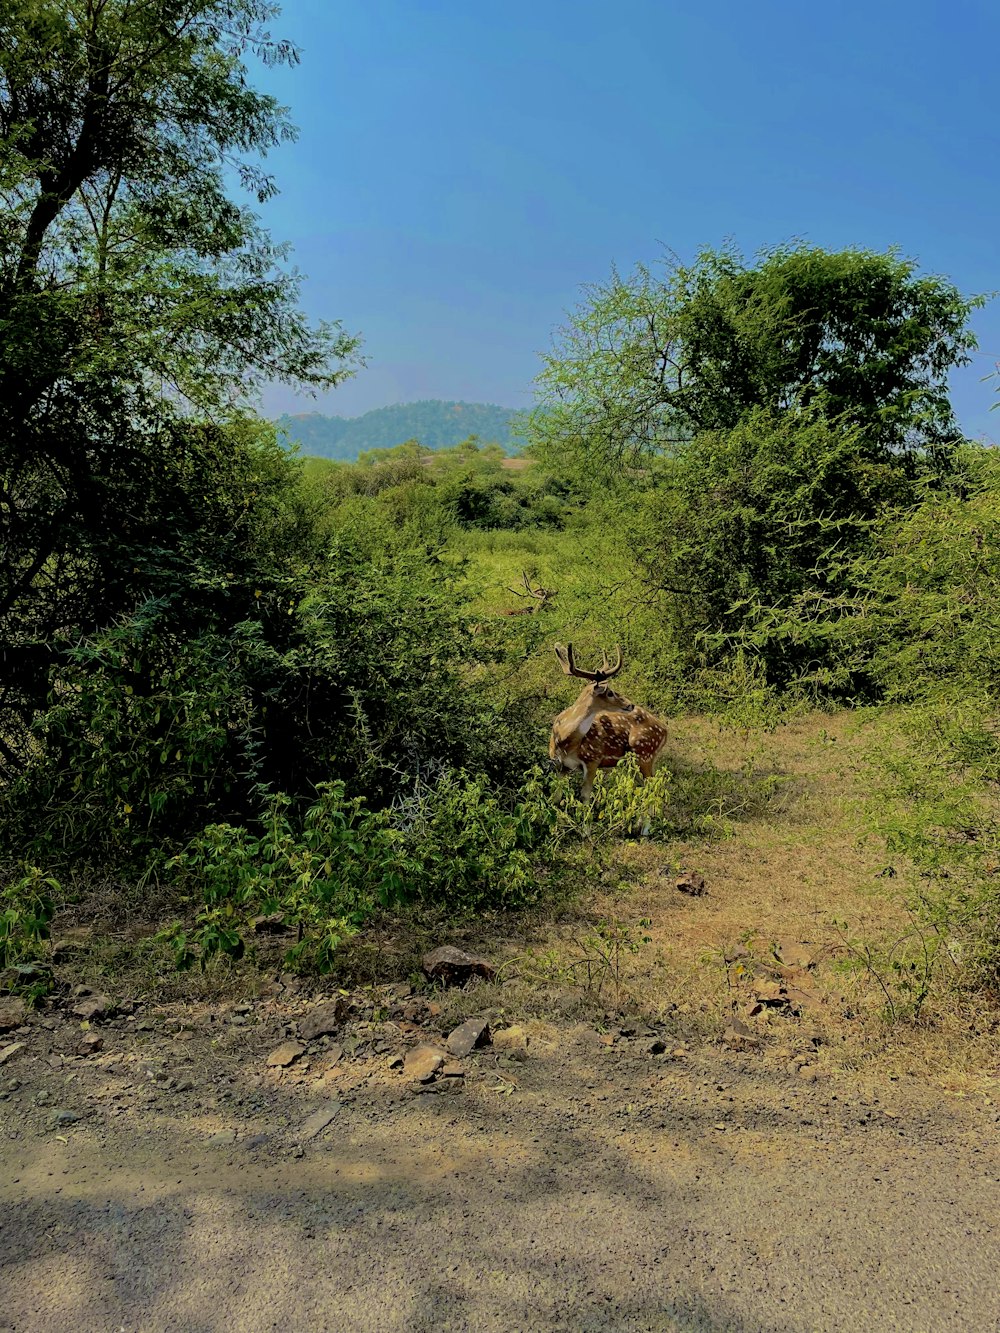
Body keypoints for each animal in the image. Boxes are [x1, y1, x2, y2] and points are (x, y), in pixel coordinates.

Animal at [552, 645, 669, 799]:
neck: (565, 740)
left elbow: (585, 796)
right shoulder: (561, 766)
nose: (630, 704)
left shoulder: (593, 759)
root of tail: (665, 730)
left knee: (654, 789)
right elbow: (556, 796)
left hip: (645, 753)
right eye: (610, 693)